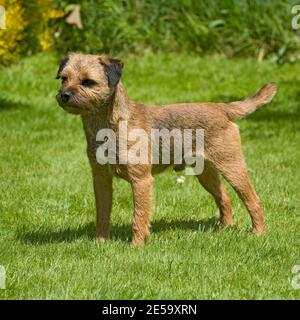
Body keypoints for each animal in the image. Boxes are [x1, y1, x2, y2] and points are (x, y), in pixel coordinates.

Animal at [55, 53, 276, 246]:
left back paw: (258, 233)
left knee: (253, 200)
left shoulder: (141, 181)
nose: (64, 95)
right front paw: (100, 243)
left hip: (232, 167)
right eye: (64, 78)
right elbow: (102, 213)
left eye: (88, 82)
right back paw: (224, 228)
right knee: (224, 197)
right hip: (206, 174)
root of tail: (221, 108)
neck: (110, 124)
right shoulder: (101, 179)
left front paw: (136, 246)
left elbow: (139, 216)